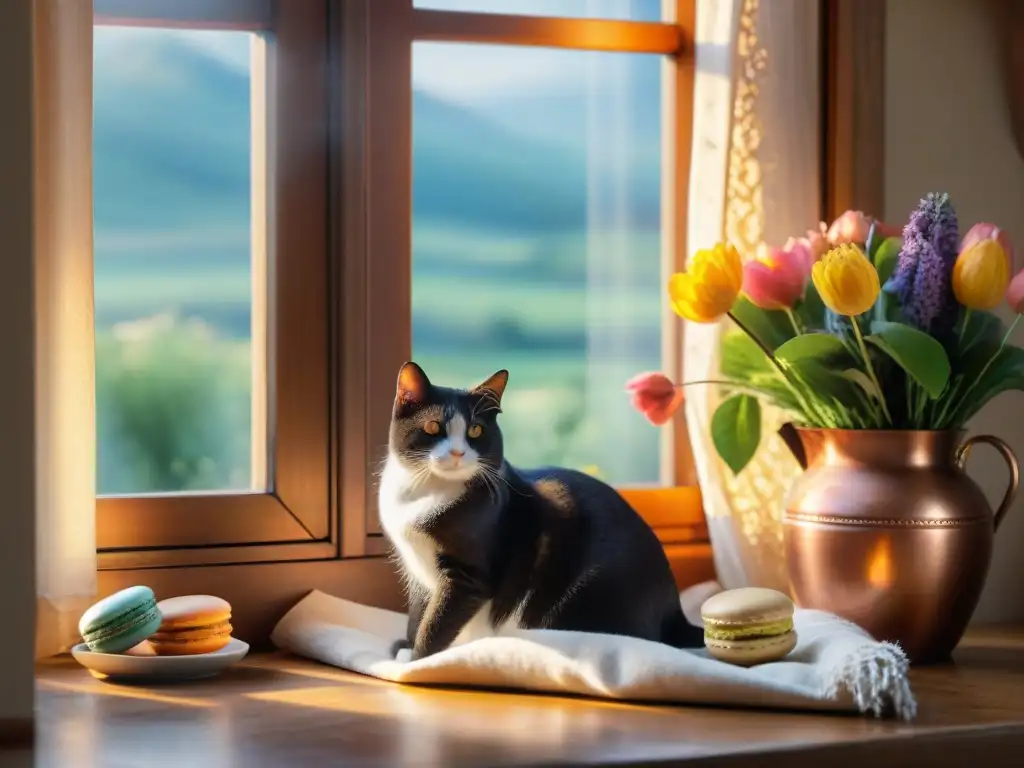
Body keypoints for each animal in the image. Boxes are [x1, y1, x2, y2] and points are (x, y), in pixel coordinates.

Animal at [378, 364, 704, 663]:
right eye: (433, 427)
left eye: (476, 430)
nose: (458, 453)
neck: (427, 491)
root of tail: (674, 610)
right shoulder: (416, 571)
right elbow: (418, 611)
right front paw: (405, 646)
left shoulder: (467, 576)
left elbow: (438, 620)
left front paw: (417, 660)